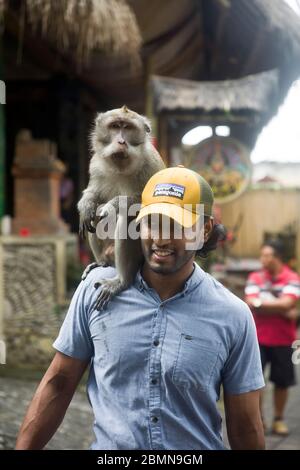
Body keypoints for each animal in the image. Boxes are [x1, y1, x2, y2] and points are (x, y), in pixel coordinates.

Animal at [77, 107, 165, 312]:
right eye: (115, 126)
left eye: (128, 128)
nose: (121, 141)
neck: (121, 166)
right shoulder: (95, 163)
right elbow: (93, 193)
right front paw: (86, 205)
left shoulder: (150, 164)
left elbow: (144, 205)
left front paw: (111, 206)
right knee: (94, 219)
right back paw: (100, 262)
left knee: (128, 219)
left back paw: (122, 281)